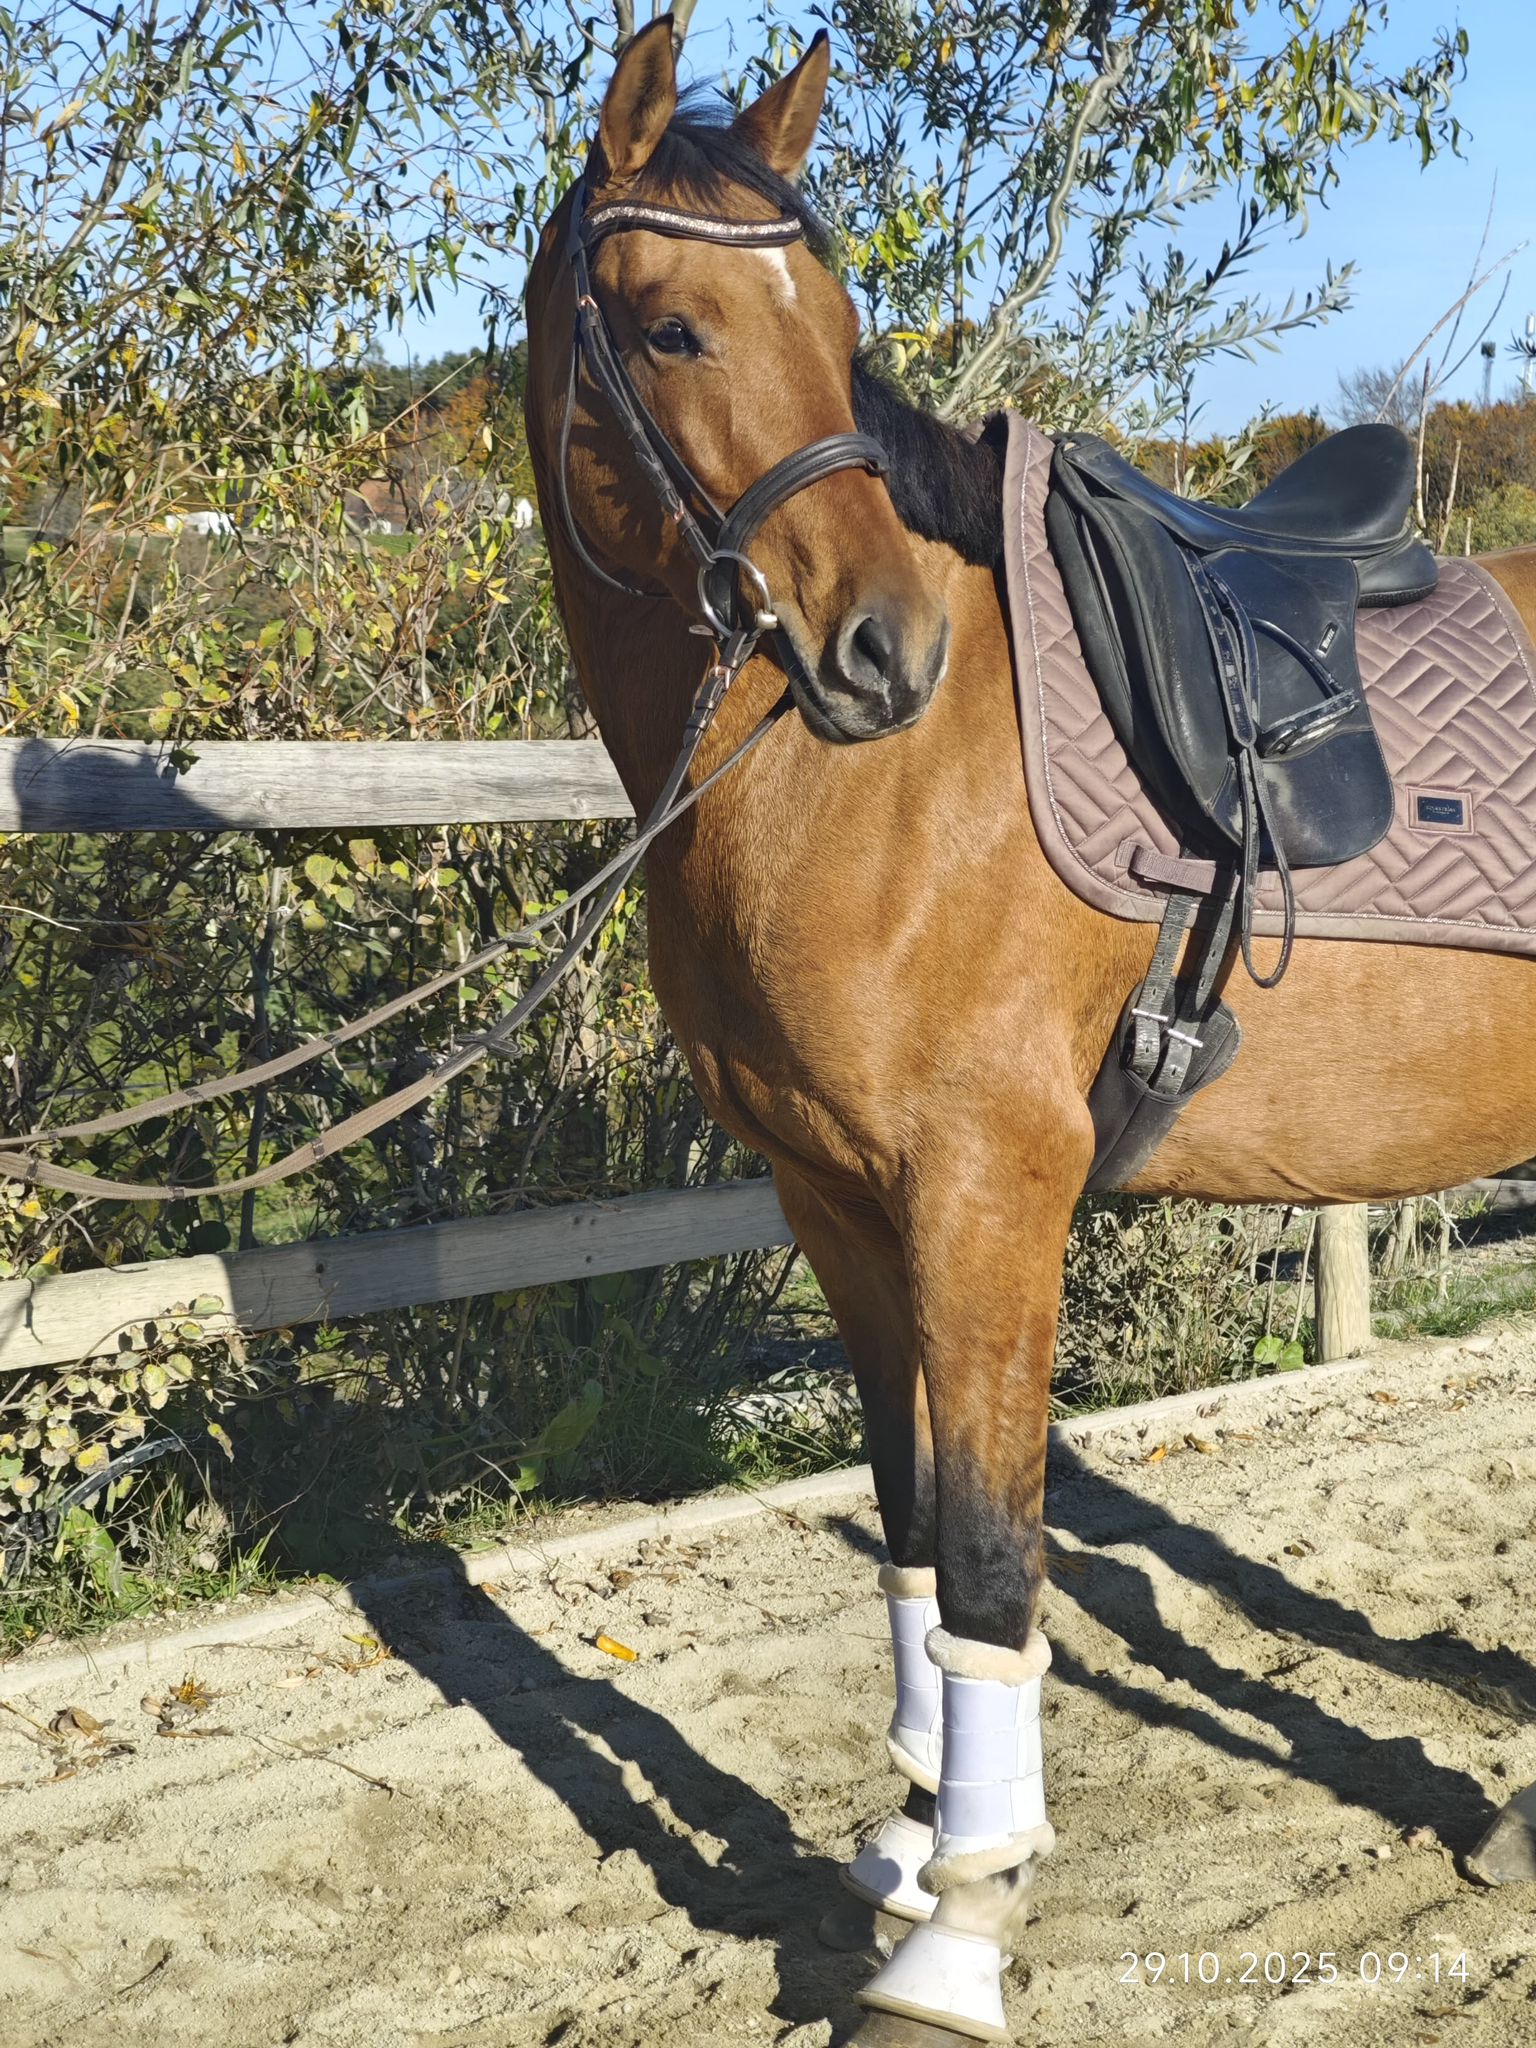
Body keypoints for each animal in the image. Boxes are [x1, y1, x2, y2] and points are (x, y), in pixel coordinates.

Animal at [523, 20, 1536, 2042]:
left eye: (839, 323)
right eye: (670, 327)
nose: (879, 655)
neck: (868, 790)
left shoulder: (987, 1189)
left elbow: (997, 1556)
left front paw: (963, 1929)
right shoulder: (836, 1202)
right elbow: (911, 1520)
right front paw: (914, 1840)